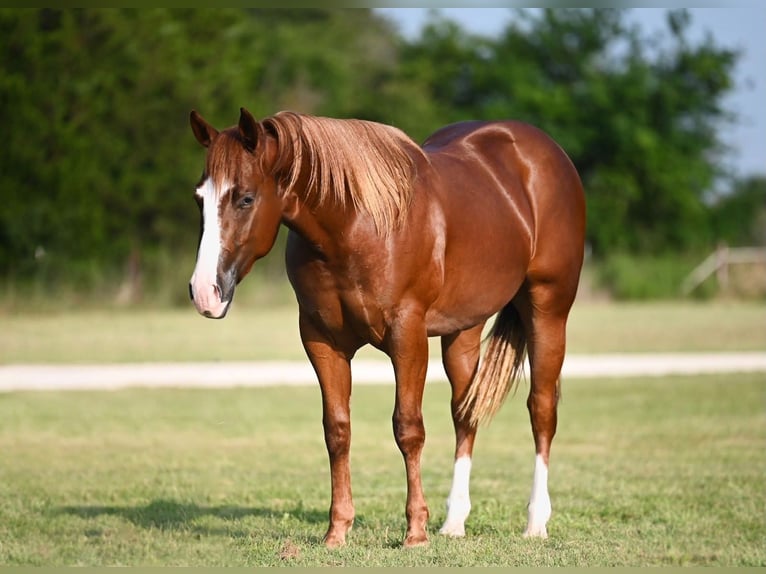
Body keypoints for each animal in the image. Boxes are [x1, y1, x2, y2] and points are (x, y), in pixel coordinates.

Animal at [187, 108, 586, 548]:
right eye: (200, 198)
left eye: (245, 198)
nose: (205, 292)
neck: (353, 225)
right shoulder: (320, 340)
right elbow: (337, 430)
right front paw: (337, 530)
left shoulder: (407, 336)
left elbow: (407, 428)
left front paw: (415, 532)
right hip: (463, 331)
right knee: (465, 414)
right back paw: (454, 522)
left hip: (548, 312)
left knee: (541, 409)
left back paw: (535, 522)